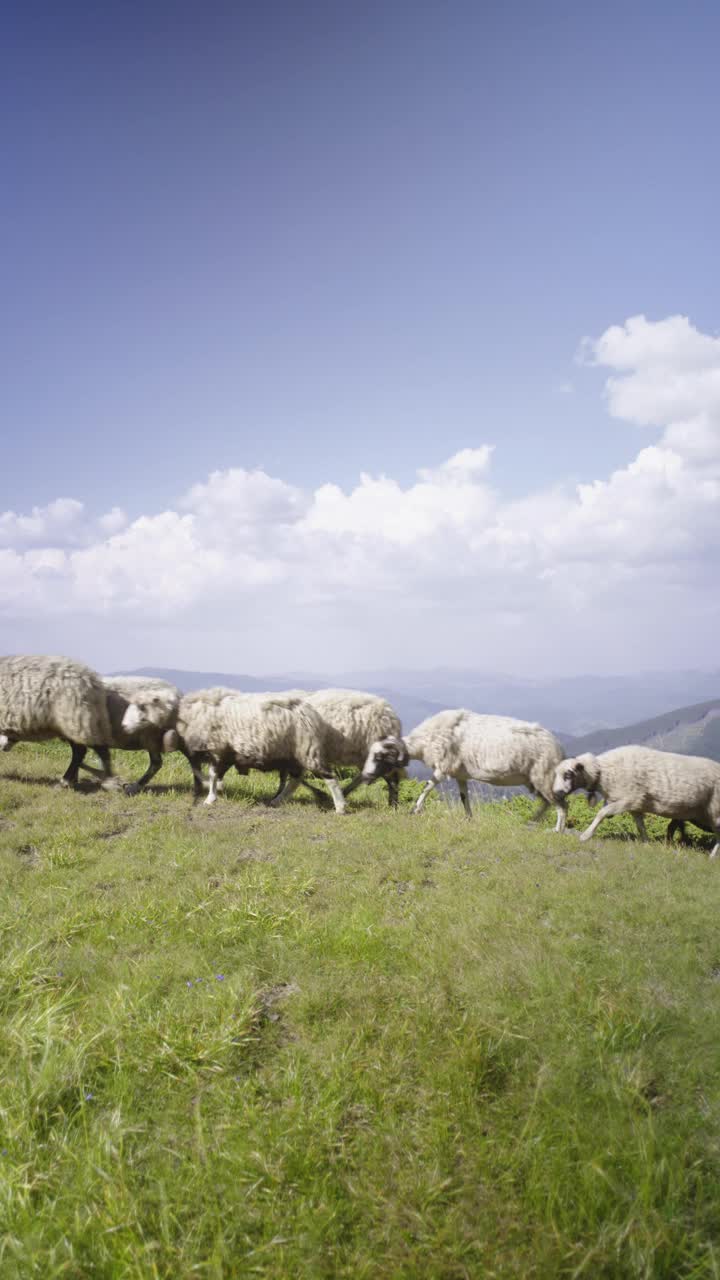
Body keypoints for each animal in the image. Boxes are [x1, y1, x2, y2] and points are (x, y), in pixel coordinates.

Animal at [0, 655, 116, 783]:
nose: (3, 746)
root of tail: (92, 680)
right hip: (80, 721)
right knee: (88, 750)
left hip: (75, 719)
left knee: (85, 750)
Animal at [167, 691, 348, 808]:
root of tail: (310, 712)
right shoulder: (225, 755)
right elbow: (214, 776)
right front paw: (214, 793)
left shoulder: (219, 752)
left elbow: (212, 775)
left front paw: (210, 799)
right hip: (294, 756)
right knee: (295, 780)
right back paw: (277, 801)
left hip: (308, 751)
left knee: (329, 777)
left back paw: (340, 807)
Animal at [353, 706, 566, 824]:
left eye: (380, 757)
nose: (366, 776)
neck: (425, 740)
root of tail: (558, 748)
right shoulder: (460, 774)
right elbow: (464, 797)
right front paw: (468, 818)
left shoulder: (443, 767)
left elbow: (427, 787)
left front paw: (414, 810)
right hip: (535, 779)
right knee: (547, 803)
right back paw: (532, 822)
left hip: (544, 775)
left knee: (561, 805)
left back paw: (557, 830)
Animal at [548, 747, 717, 855]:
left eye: (568, 774)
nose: (556, 792)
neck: (603, 772)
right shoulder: (635, 806)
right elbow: (640, 826)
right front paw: (647, 844)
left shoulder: (628, 800)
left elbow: (602, 813)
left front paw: (585, 836)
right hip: (698, 815)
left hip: (713, 811)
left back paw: (712, 856)